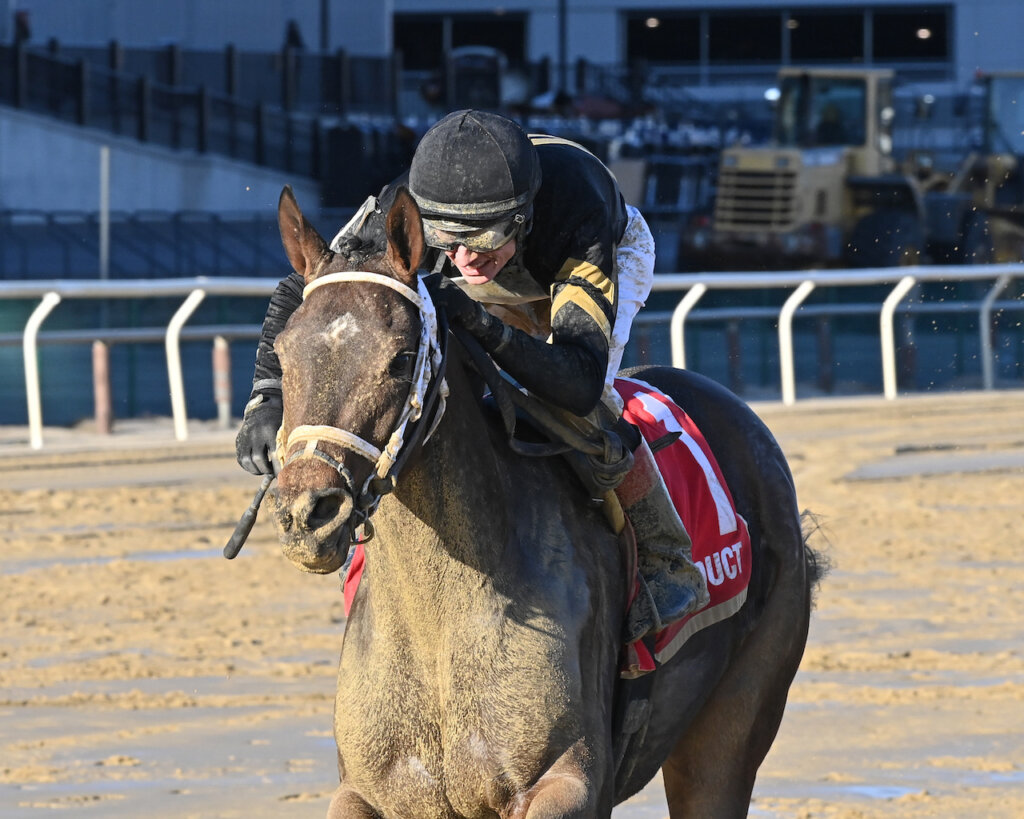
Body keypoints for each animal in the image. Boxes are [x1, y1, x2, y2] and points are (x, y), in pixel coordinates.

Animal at [268, 185, 819, 818]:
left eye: (402, 358)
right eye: (282, 353)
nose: (307, 513)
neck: (439, 627)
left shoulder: (571, 779)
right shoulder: (367, 791)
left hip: (730, 727)